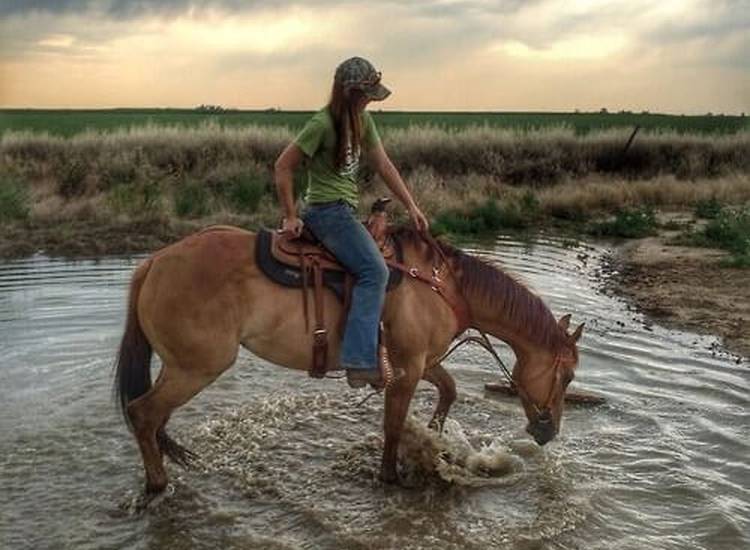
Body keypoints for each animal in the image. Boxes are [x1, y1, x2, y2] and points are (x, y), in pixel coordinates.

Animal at [114, 224, 588, 496]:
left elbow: (450, 390)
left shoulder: (419, 360)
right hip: (196, 368)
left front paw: (435, 441)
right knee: (142, 414)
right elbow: (393, 424)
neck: (443, 287)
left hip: (183, 368)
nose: (548, 432)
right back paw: (158, 486)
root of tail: (153, 263)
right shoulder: (407, 369)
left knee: (152, 420)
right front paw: (391, 477)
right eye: (567, 376)